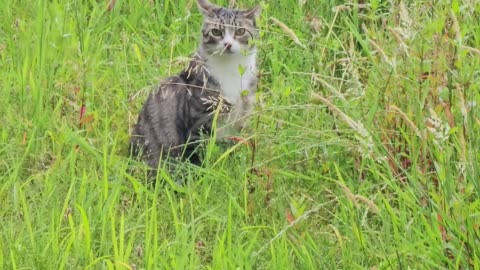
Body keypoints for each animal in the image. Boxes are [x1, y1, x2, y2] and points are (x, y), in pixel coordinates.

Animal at [129, 0, 260, 178]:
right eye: (216, 32)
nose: (227, 44)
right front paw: (203, 174)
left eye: (240, 31)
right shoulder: (198, 120)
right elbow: (198, 153)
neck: (231, 69)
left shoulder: (241, 116)